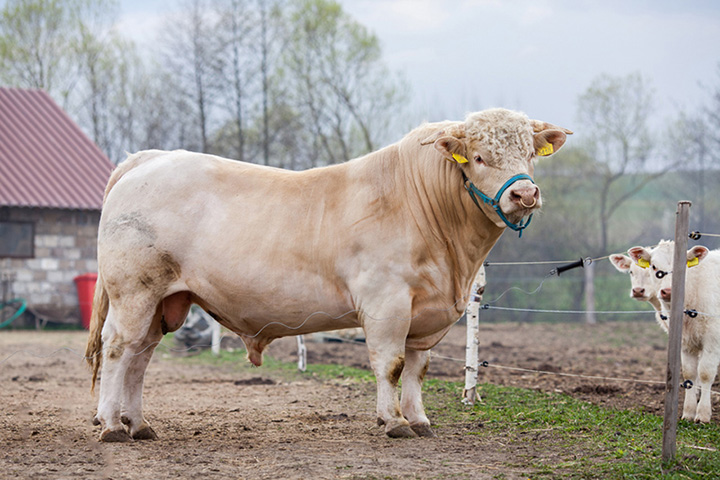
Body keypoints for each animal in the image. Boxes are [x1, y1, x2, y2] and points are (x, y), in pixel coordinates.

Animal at [84, 107, 572, 440]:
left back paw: (139, 424)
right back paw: (111, 426)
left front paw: (419, 419)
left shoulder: (425, 314)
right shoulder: (386, 301)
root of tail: (149, 158)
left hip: (163, 301)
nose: (525, 194)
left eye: (529, 154)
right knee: (118, 349)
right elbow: (391, 364)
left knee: (140, 357)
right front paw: (393, 421)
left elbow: (418, 368)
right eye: (479, 157)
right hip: (134, 292)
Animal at [648, 242, 720, 422]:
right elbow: (689, 374)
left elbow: (705, 374)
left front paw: (702, 414)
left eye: (683, 266)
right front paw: (688, 412)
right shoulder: (685, 343)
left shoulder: (713, 340)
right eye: (653, 266)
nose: (668, 291)